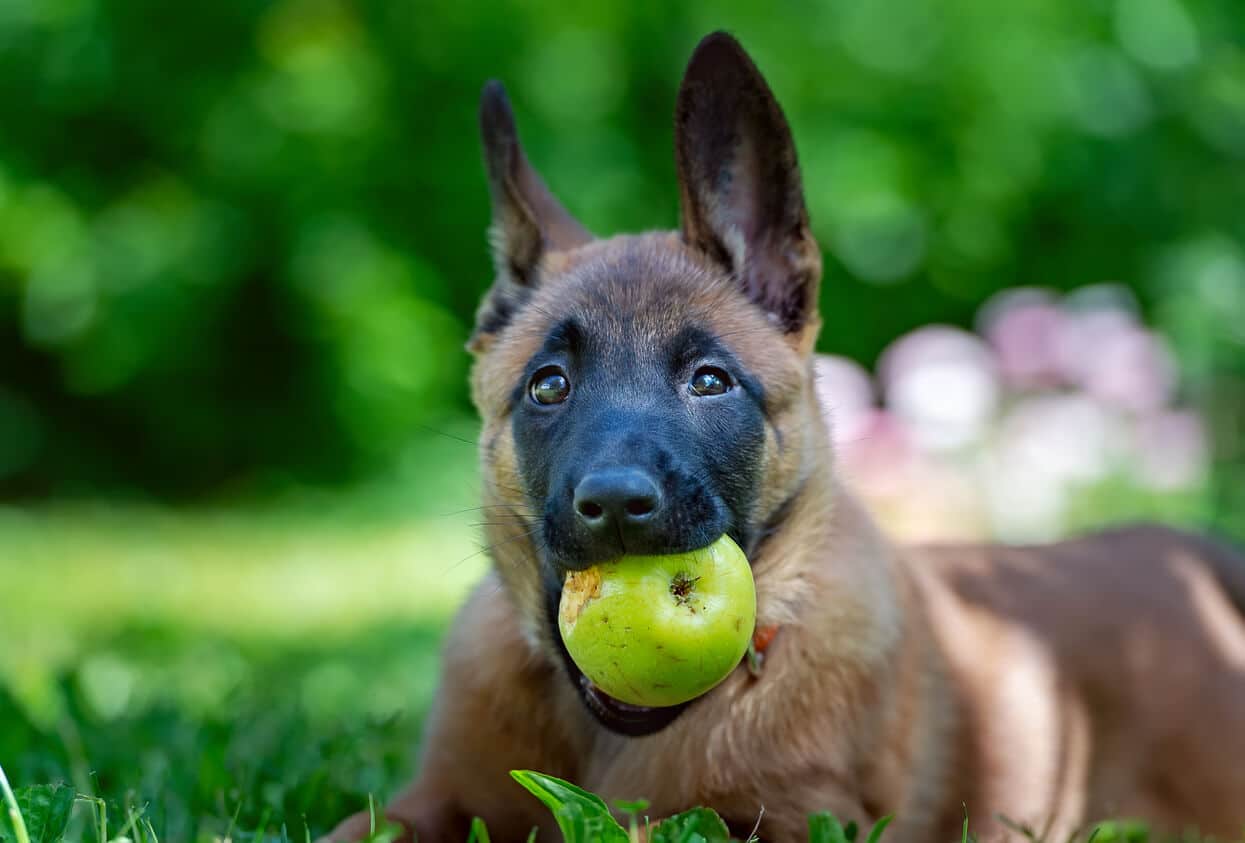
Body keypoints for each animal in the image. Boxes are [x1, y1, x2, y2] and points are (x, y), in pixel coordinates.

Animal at [328, 31, 1245, 841]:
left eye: (709, 381)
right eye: (547, 386)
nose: (618, 504)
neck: (610, 740)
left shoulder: (793, 821)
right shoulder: (428, 800)